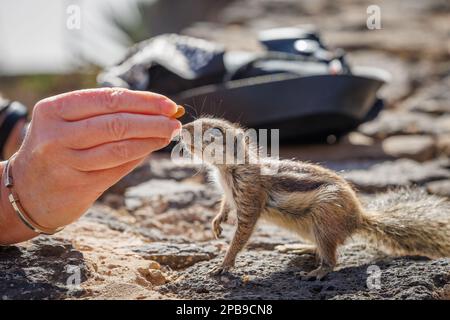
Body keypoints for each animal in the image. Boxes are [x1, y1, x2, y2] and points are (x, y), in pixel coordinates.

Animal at [179, 118, 450, 280]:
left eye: (215, 131)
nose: (183, 127)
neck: (225, 170)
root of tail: (358, 217)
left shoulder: (250, 197)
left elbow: (242, 234)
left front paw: (224, 264)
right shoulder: (228, 194)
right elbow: (224, 206)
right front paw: (217, 223)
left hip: (324, 214)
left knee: (332, 256)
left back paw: (317, 272)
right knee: (323, 245)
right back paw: (296, 247)